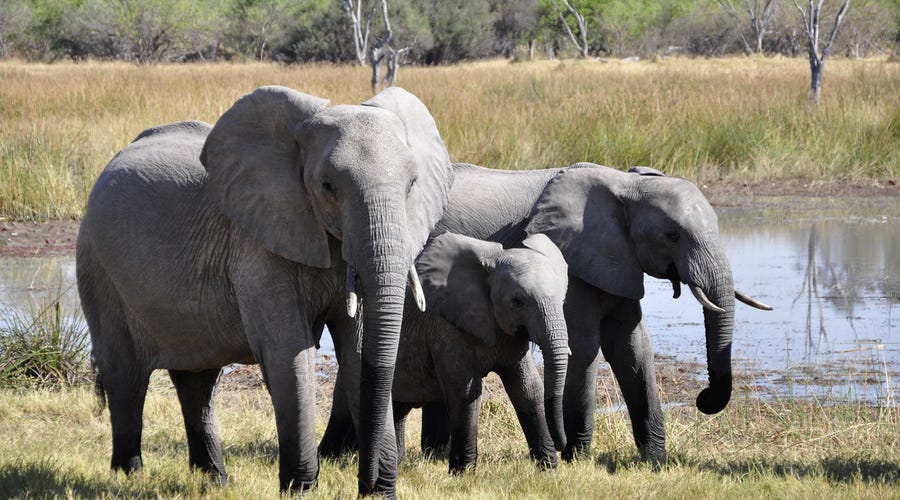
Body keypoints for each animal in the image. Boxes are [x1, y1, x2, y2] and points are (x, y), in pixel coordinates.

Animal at [75, 86, 458, 496]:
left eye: (412, 185)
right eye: (327, 186)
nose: (370, 483)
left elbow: (356, 351)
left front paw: (378, 493)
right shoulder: (257, 245)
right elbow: (288, 352)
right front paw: (300, 490)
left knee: (198, 382)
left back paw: (215, 481)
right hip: (98, 267)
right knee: (125, 376)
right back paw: (129, 474)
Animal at [320, 164, 768, 464]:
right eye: (672, 235)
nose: (704, 399)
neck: (626, 184)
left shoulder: (617, 261)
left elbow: (632, 348)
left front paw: (654, 461)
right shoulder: (576, 260)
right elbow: (585, 347)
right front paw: (578, 458)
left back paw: (428, 455)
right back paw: (338, 457)